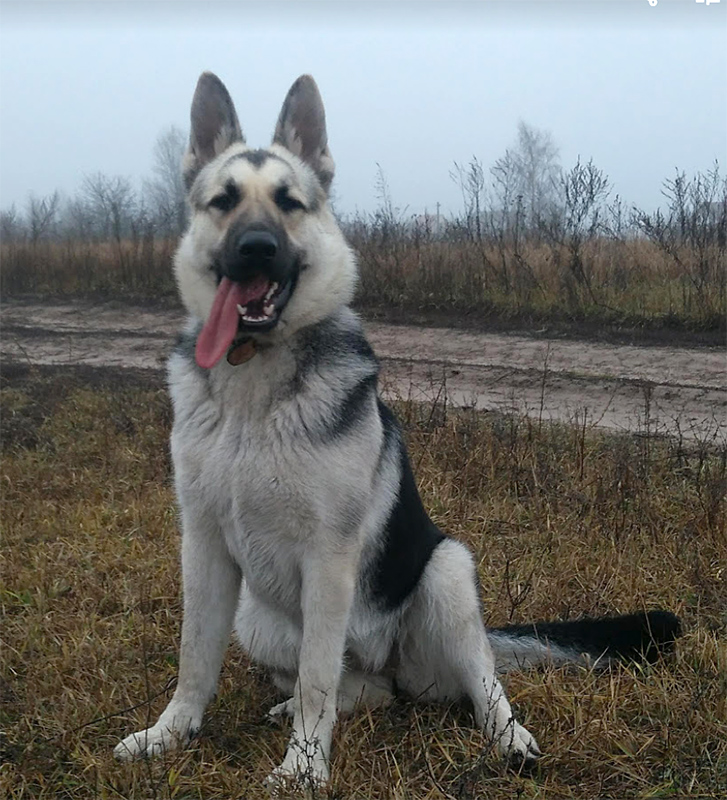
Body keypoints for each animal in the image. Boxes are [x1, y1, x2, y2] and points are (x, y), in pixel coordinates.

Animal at [114, 72, 681, 790]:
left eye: (288, 203)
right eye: (223, 202)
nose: (255, 248)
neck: (253, 390)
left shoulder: (328, 560)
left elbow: (318, 677)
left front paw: (303, 767)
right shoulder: (204, 547)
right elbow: (196, 660)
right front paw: (170, 734)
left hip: (448, 571)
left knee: (476, 682)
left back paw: (510, 737)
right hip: (258, 619)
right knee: (365, 690)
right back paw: (299, 705)